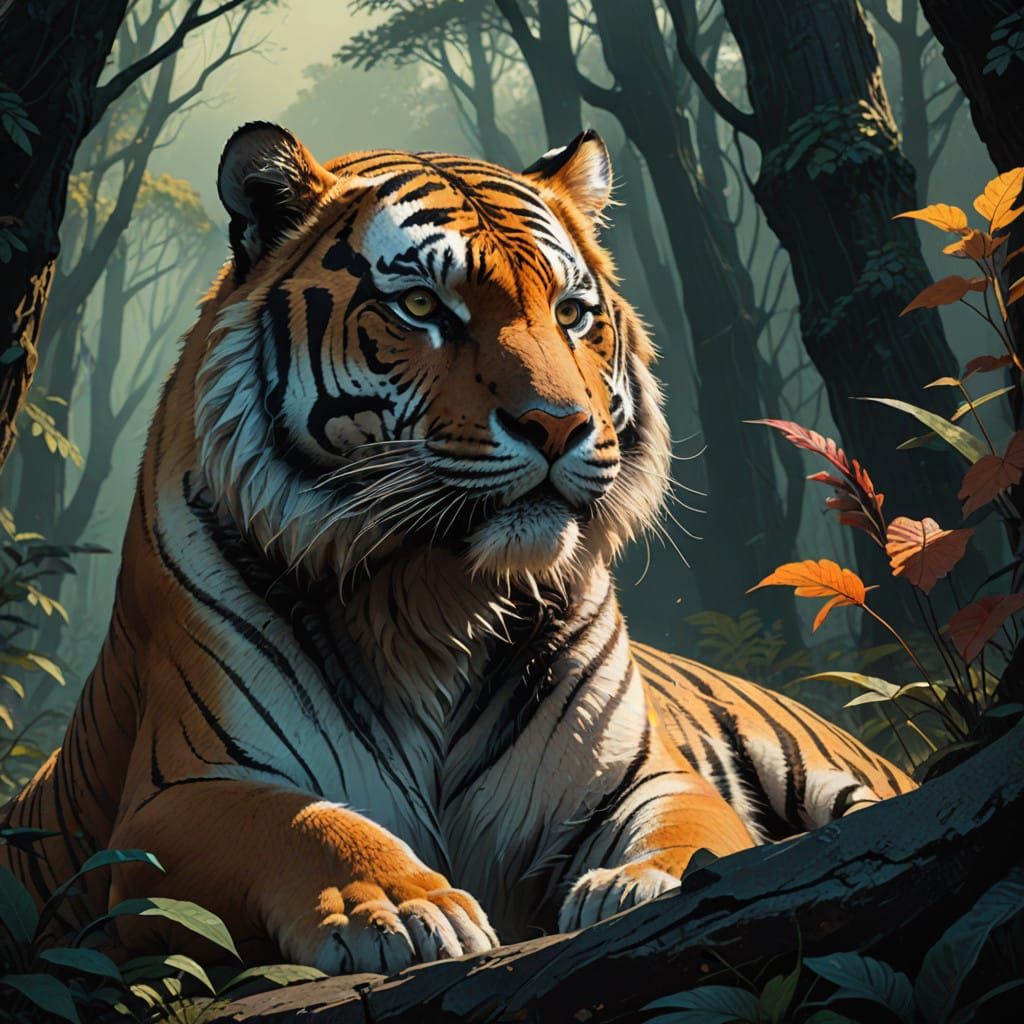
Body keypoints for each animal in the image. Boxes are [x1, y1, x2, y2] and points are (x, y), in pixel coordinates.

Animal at [1, 123, 914, 972]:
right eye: (423, 308)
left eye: (572, 313)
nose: (559, 425)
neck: (435, 594)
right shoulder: (175, 799)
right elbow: (300, 823)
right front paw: (397, 908)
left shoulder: (639, 773)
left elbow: (689, 822)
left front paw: (644, 883)